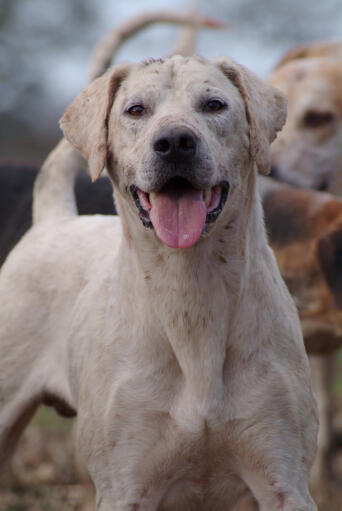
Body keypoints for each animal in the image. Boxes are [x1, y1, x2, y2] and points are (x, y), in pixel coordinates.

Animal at [0, 54, 316, 510]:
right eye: (136, 110)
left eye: (214, 105)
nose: (175, 141)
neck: (190, 294)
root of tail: (52, 219)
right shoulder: (125, 488)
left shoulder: (285, 483)